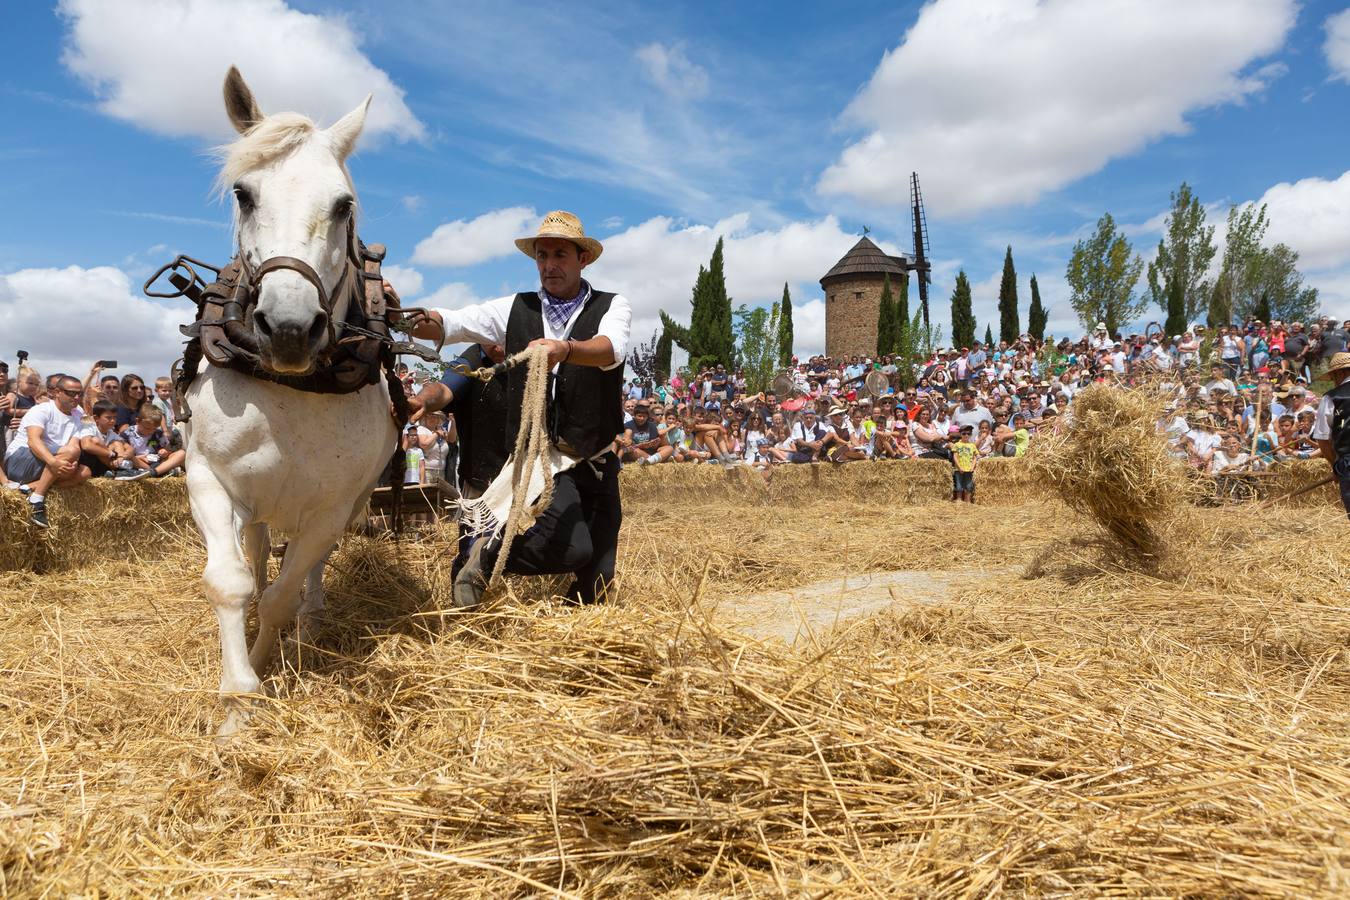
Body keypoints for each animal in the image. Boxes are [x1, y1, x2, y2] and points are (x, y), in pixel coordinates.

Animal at [189, 68, 399, 734]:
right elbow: (229, 582)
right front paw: (236, 699)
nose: (287, 327)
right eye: (244, 194)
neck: (292, 388)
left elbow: (288, 588)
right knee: (255, 549)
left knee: (307, 569)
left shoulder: (332, 508)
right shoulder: (208, 479)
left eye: (343, 204)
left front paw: (264, 661)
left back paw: (310, 612)